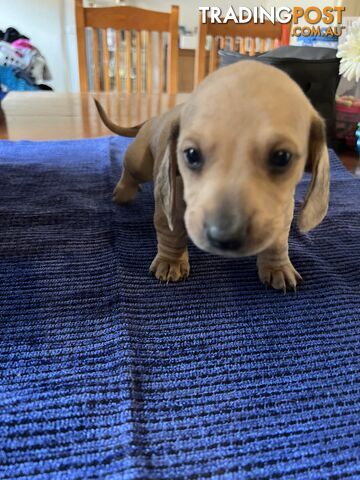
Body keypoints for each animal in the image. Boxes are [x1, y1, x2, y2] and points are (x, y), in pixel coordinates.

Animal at [95, 61, 330, 290]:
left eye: (282, 157)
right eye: (191, 154)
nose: (224, 237)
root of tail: (152, 119)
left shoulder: (281, 210)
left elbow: (278, 241)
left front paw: (277, 267)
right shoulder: (170, 202)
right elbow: (171, 231)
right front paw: (171, 261)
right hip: (139, 161)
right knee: (130, 172)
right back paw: (123, 191)